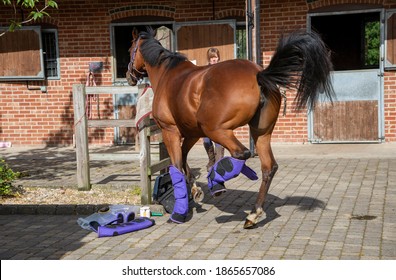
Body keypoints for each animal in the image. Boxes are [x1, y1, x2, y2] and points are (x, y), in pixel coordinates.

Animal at [127, 27, 334, 229]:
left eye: (130, 49)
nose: (129, 75)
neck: (168, 74)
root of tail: (258, 74)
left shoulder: (171, 131)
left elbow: (177, 165)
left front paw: (180, 212)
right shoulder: (192, 133)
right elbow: (185, 160)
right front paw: (194, 189)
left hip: (217, 130)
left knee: (241, 153)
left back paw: (218, 182)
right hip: (260, 133)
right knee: (268, 167)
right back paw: (252, 214)